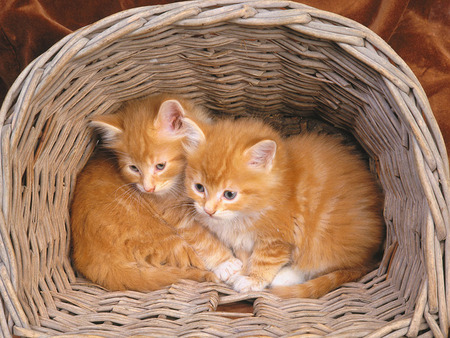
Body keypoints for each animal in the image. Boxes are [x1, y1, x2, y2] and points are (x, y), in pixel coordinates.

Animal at [70, 95, 223, 290]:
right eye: (134, 168)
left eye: (160, 166)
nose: (147, 188)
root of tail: (97, 262)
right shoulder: (174, 213)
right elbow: (203, 237)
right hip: (169, 240)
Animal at [183, 117, 384, 298]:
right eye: (199, 187)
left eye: (229, 194)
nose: (208, 210)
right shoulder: (242, 240)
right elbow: (246, 257)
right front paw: (240, 272)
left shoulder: (278, 239)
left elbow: (265, 260)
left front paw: (253, 280)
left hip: (326, 240)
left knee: (320, 264)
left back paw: (285, 277)